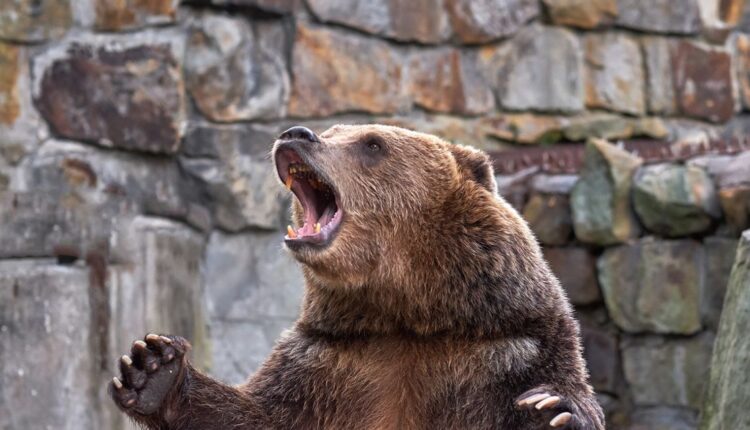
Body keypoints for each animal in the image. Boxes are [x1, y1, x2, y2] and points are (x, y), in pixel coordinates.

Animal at [110, 124, 605, 430]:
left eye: (372, 144)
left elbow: (556, 392)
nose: (296, 134)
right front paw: (152, 367)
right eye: (331, 132)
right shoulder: (327, 363)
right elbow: (252, 415)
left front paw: (550, 411)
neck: (405, 314)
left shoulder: (514, 349)